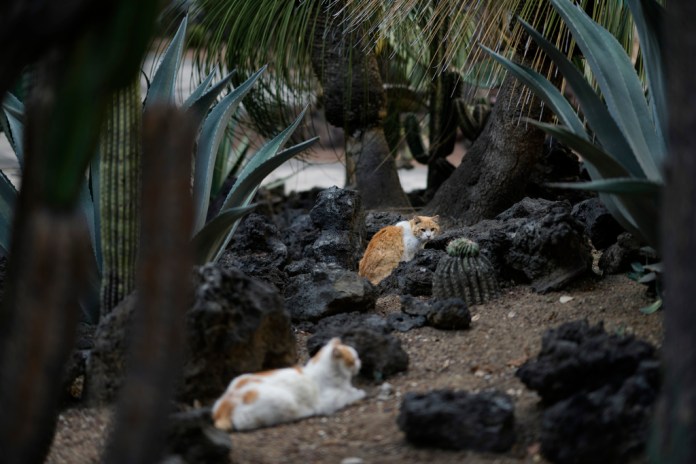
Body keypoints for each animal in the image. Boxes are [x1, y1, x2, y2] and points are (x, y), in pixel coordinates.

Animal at [211, 338, 364, 432]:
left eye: (357, 357)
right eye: (353, 359)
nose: (359, 362)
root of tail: (227, 401)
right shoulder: (329, 402)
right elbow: (350, 395)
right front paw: (359, 393)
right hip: (284, 402)